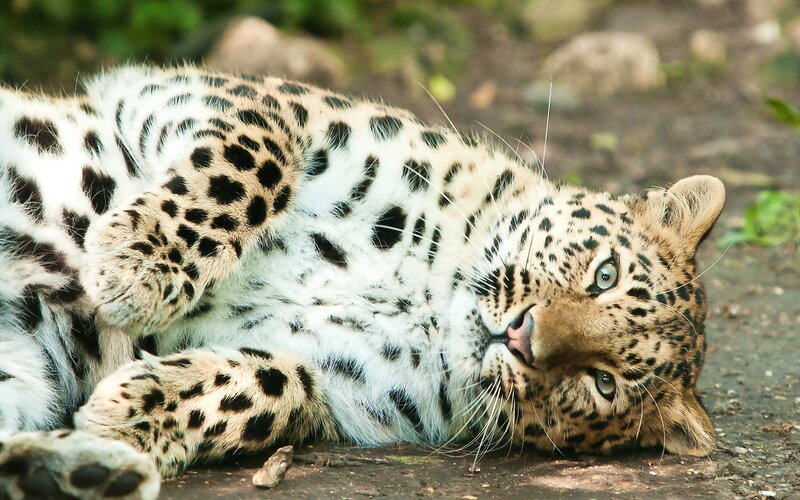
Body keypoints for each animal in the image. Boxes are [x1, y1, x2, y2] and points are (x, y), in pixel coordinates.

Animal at [0, 65, 725, 499]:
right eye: (604, 274)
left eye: (602, 383)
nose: (522, 338)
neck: (429, 297)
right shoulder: (201, 96)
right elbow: (255, 160)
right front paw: (134, 265)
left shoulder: (338, 390)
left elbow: (277, 385)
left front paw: (125, 413)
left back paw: (79, 472)